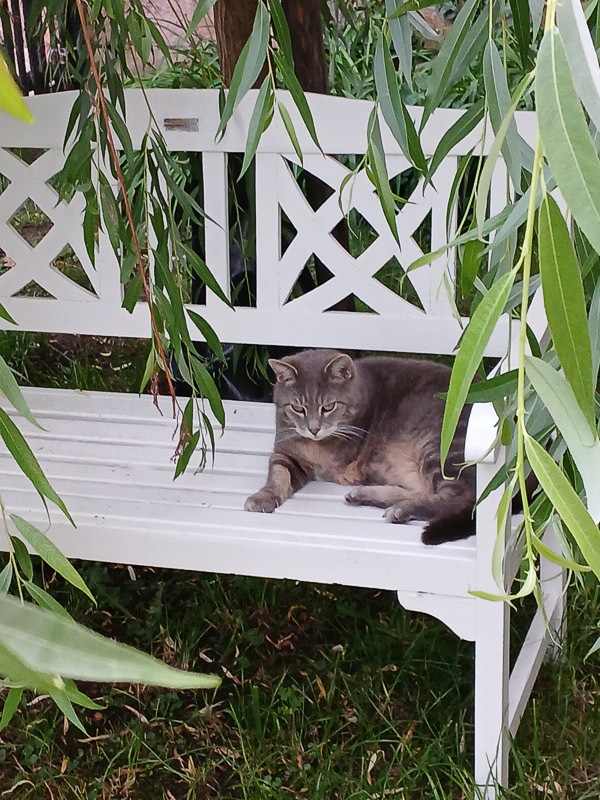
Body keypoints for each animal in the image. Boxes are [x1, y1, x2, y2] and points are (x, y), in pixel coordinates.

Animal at [243, 348, 474, 544]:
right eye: (298, 408)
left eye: (328, 406)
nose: (313, 429)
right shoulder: (285, 454)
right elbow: (278, 475)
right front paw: (262, 497)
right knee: (426, 490)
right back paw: (364, 495)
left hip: (440, 448)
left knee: (459, 497)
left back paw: (401, 509)